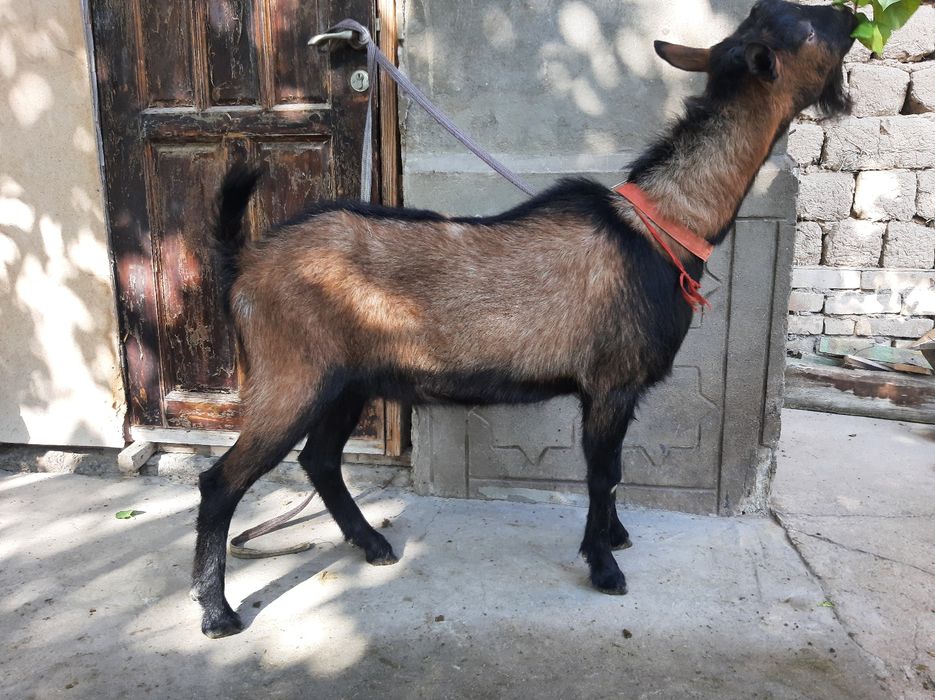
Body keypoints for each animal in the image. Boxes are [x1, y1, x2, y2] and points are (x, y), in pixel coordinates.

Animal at [192, 0, 857, 637]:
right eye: (805, 27)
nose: (851, 16)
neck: (664, 223)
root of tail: (246, 263)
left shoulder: (612, 389)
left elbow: (610, 474)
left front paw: (614, 538)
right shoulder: (612, 381)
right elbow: (604, 473)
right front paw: (605, 565)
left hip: (347, 380)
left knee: (320, 460)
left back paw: (374, 544)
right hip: (292, 376)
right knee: (223, 481)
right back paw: (217, 613)